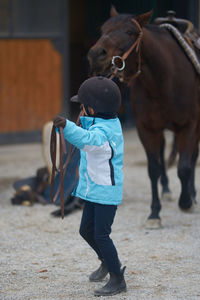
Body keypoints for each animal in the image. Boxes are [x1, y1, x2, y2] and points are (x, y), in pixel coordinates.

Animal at [88, 6, 200, 227]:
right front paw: (155, 213)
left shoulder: (190, 126)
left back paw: (192, 194)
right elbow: (153, 169)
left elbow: (184, 167)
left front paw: (186, 201)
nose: (97, 54)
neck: (165, 81)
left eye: (130, 31)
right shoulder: (147, 129)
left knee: (192, 159)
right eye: (103, 29)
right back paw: (167, 190)